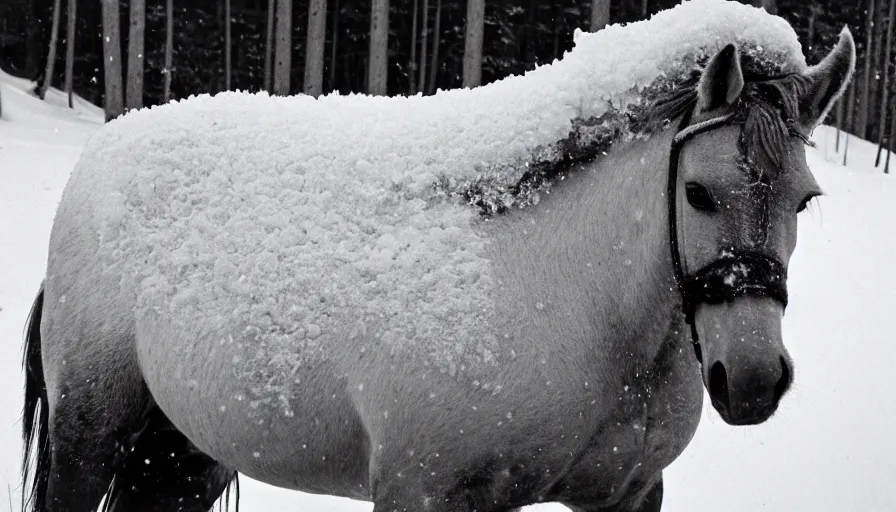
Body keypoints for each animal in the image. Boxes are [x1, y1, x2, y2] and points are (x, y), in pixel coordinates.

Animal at [19, 3, 856, 508]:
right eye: (700, 193)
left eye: (804, 200)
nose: (752, 379)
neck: (582, 306)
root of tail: (100, 156)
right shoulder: (421, 490)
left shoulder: (630, 494)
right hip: (92, 432)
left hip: (185, 451)